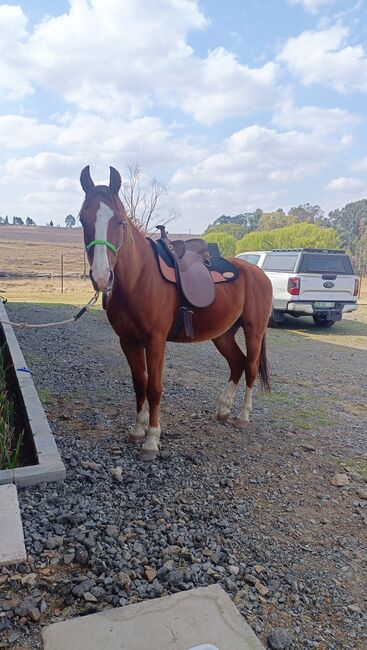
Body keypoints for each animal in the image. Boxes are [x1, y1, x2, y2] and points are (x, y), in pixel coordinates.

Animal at [78, 167, 274, 460]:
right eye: (83, 219)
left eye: (120, 221)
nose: (102, 277)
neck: (140, 279)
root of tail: (259, 273)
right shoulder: (128, 342)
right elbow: (139, 384)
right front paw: (137, 431)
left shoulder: (155, 342)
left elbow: (154, 388)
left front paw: (151, 440)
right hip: (223, 334)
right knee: (237, 363)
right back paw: (223, 410)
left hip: (254, 332)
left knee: (250, 367)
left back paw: (242, 417)